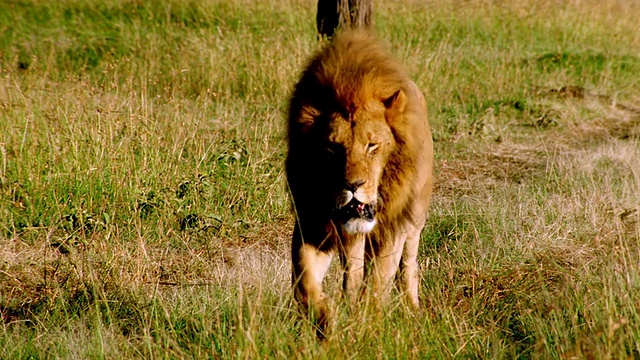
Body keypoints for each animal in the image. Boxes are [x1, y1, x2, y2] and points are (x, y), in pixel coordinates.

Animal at [286, 29, 432, 336]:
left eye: (372, 145)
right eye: (332, 148)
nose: (352, 186)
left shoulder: (391, 228)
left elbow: (377, 283)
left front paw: (366, 328)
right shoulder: (314, 225)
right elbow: (304, 282)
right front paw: (327, 322)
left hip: (415, 216)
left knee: (408, 266)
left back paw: (413, 311)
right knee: (352, 273)